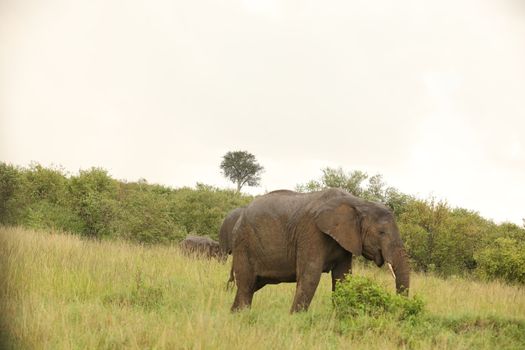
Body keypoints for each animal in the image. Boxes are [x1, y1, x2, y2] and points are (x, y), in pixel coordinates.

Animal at [230, 187, 410, 314]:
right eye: (381, 233)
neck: (358, 202)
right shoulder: (311, 232)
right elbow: (310, 275)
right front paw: (295, 319)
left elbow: (343, 278)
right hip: (244, 243)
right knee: (246, 285)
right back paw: (241, 316)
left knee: (250, 286)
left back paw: (233, 314)